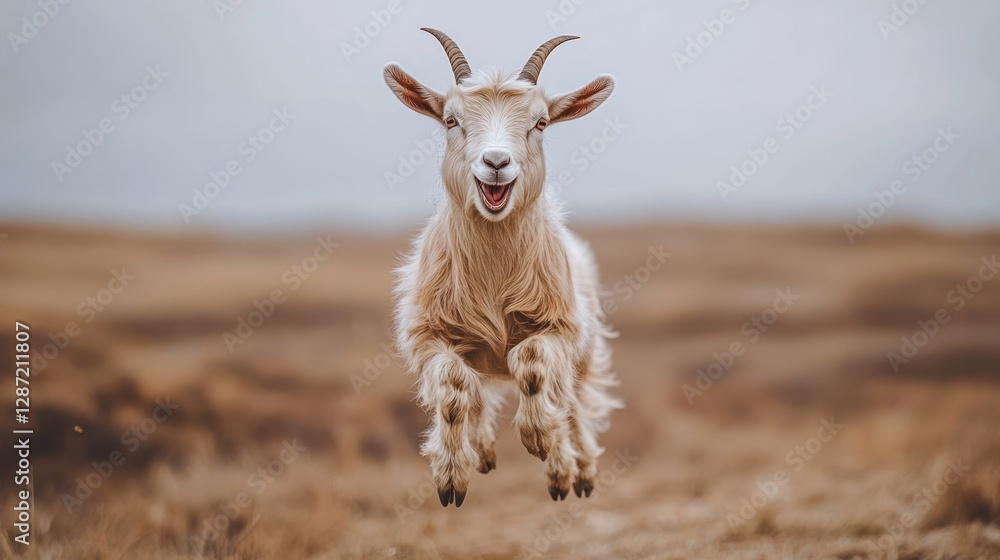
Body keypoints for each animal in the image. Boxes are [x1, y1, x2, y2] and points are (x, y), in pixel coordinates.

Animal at [384, 29, 621, 507]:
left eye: (541, 123)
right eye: (451, 120)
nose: (496, 163)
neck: (494, 274)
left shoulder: (559, 327)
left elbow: (531, 364)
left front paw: (539, 439)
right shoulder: (429, 334)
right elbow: (454, 390)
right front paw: (451, 476)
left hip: (585, 350)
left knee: (573, 400)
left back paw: (572, 473)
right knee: (476, 393)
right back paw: (486, 452)